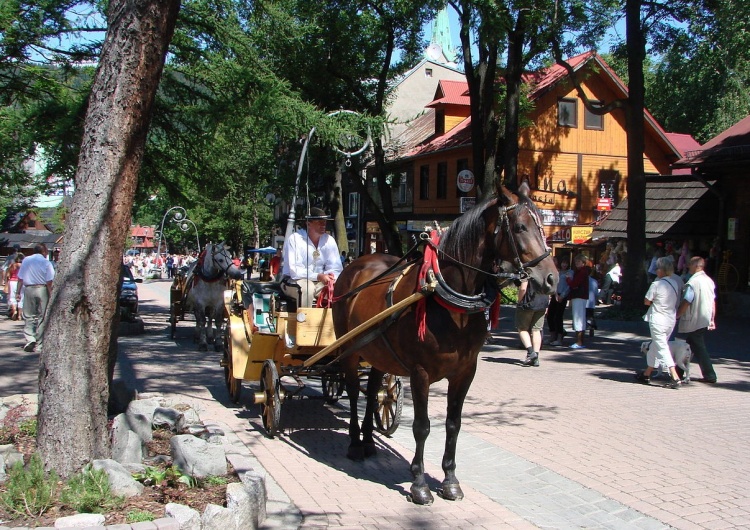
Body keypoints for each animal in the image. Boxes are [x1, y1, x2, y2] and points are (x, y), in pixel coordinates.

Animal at [334, 185, 560, 504]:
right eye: (519, 227)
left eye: (542, 226)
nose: (552, 278)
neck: (449, 301)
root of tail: (356, 264)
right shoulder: (420, 373)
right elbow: (422, 426)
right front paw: (419, 484)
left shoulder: (465, 371)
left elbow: (454, 424)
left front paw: (450, 480)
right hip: (350, 351)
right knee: (354, 392)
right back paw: (355, 442)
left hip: (377, 351)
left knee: (375, 390)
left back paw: (368, 440)